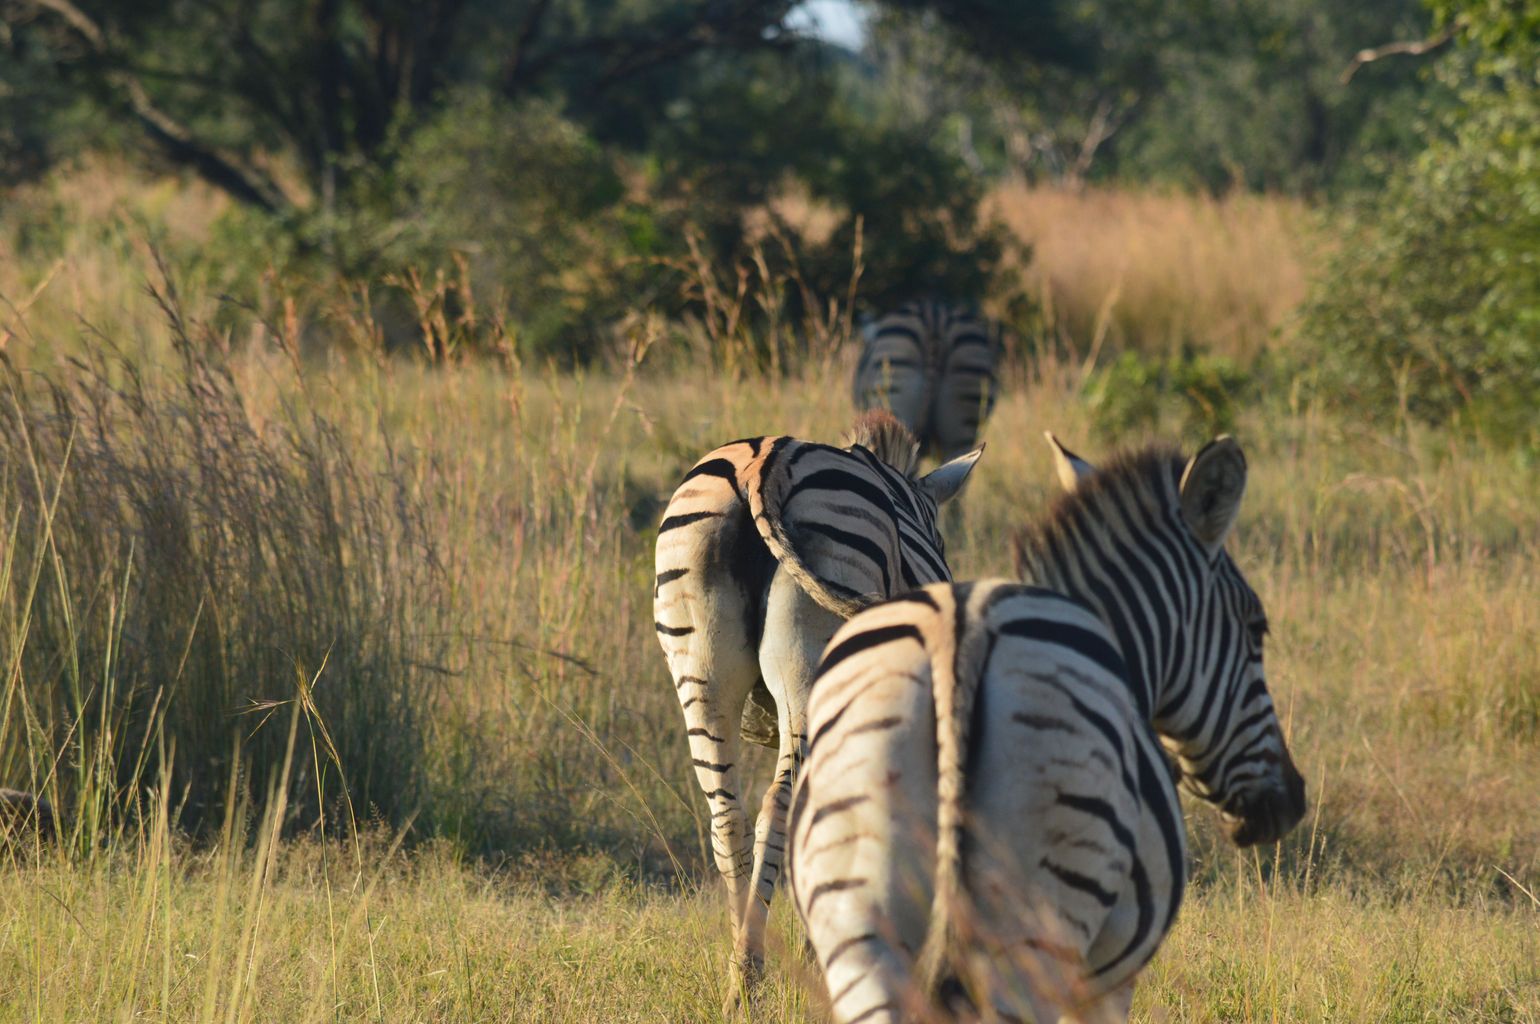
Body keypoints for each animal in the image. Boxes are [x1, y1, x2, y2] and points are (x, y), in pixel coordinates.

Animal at [653, 410, 983, 1012]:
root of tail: (763, 460)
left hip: (699, 667)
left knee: (728, 816)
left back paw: (740, 971)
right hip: (811, 659)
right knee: (782, 808)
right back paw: (753, 972)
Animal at [789, 434, 1306, 1023]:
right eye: (1256, 628)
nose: (1291, 801)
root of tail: (957, 640)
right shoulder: (1105, 982)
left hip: (859, 920)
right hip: (1034, 924)